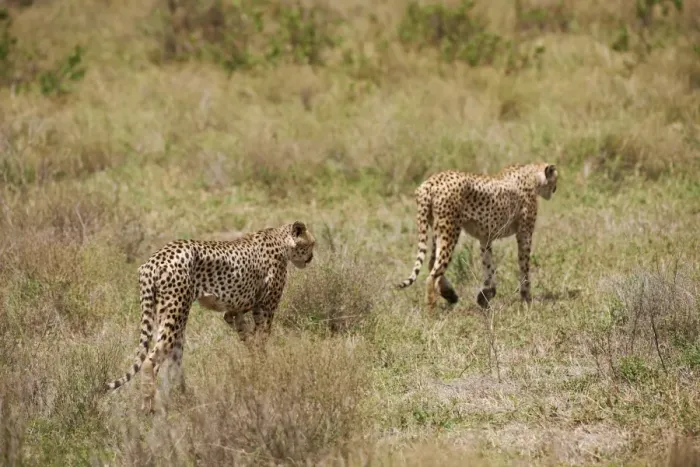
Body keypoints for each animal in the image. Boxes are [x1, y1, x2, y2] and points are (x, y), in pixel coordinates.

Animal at [105, 221, 316, 414]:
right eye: (312, 244)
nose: (311, 258)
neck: (281, 240)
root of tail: (153, 260)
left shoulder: (236, 311)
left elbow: (248, 337)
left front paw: (255, 364)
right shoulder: (265, 308)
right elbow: (261, 339)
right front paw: (264, 371)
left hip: (167, 315)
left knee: (172, 360)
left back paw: (183, 399)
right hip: (175, 312)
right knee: (151, 360)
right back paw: (150, 409)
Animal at [396, 162, 558, 310]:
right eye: (555, 179)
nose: (555, 189)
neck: (531, 174)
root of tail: (429, 183)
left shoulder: (485, 237)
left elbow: (488, 267)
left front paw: (486, 295)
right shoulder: (524, 234)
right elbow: (524, 267)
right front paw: (527, 299)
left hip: (437, 231)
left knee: (432, 264)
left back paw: (450, 294)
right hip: (450, 231)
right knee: (433, 274)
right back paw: (432, 311)